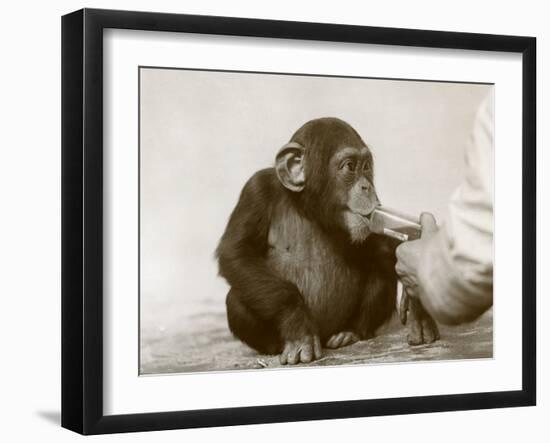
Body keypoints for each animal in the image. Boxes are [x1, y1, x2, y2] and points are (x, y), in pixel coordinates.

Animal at [216, 117, 440, 364]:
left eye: (366, 167)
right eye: (350, 167)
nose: (367, 186)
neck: (306, 206)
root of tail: (324, 336)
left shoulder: (373, 217)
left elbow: (380, 245)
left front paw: (419, 304)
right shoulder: (255, 191)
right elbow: (237, 252)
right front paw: (298, 327)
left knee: (380, 272)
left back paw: (349, 333)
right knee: (236, 299)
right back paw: (276, 346)